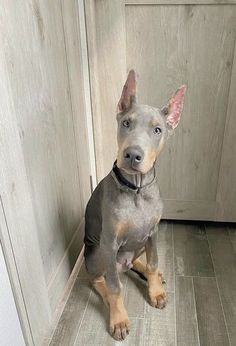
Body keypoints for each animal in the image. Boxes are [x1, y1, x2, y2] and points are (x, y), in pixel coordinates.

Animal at [84, 71, 185, 340]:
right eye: (126, 123)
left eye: (158, 130)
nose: (132, 155)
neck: (137, 190)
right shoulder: (110, 241)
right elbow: (115, 287)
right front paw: (119, 319)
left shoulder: (153, 232)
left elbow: (153, 261)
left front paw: (155, 290)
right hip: (98, 252)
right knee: (99, 280)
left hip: (139, 243)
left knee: (140, 262)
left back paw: (151, 275)